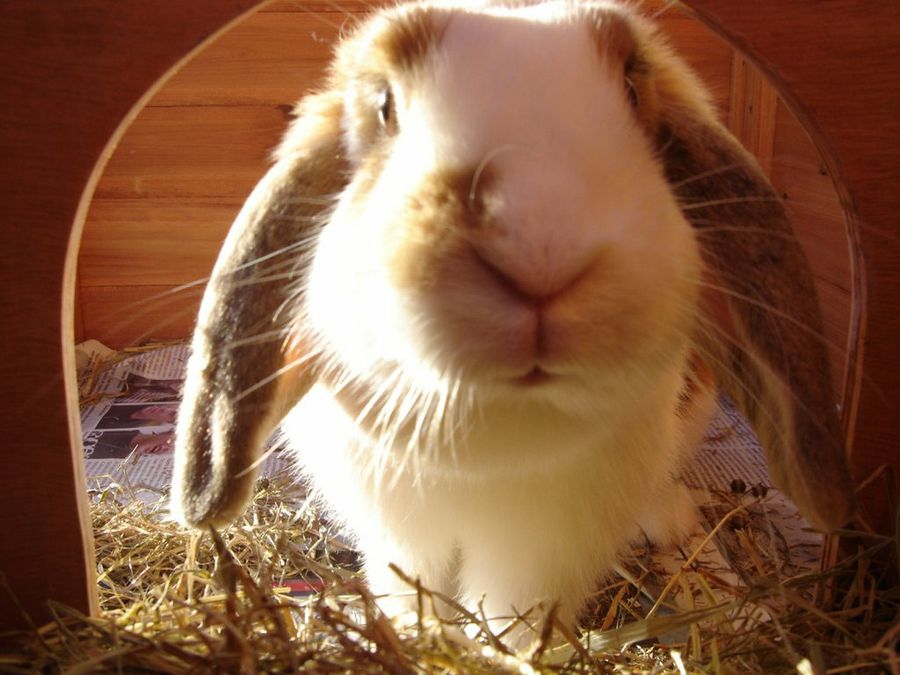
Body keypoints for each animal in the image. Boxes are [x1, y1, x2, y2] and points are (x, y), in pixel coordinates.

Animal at [171, 0, 855, 644]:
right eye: (385, 106)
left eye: (633, 92)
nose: (540, 242)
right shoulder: (398, 524)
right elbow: (415, 587)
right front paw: (419, 635)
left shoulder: (549, 541)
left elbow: (513, 618)